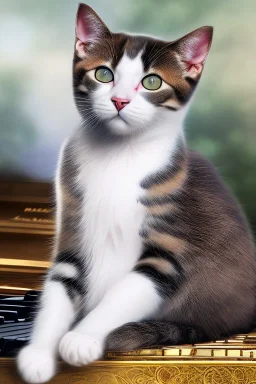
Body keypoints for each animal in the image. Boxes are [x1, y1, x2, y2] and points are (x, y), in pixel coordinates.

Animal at [17, 3, 255, 384]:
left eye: (152, 82)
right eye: (103, 74)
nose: (119, 100)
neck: (118, 158)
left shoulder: (168, 251)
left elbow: (124, 293)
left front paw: (81, 338)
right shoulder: (72, 225)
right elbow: (59, 287)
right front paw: (38, 355)